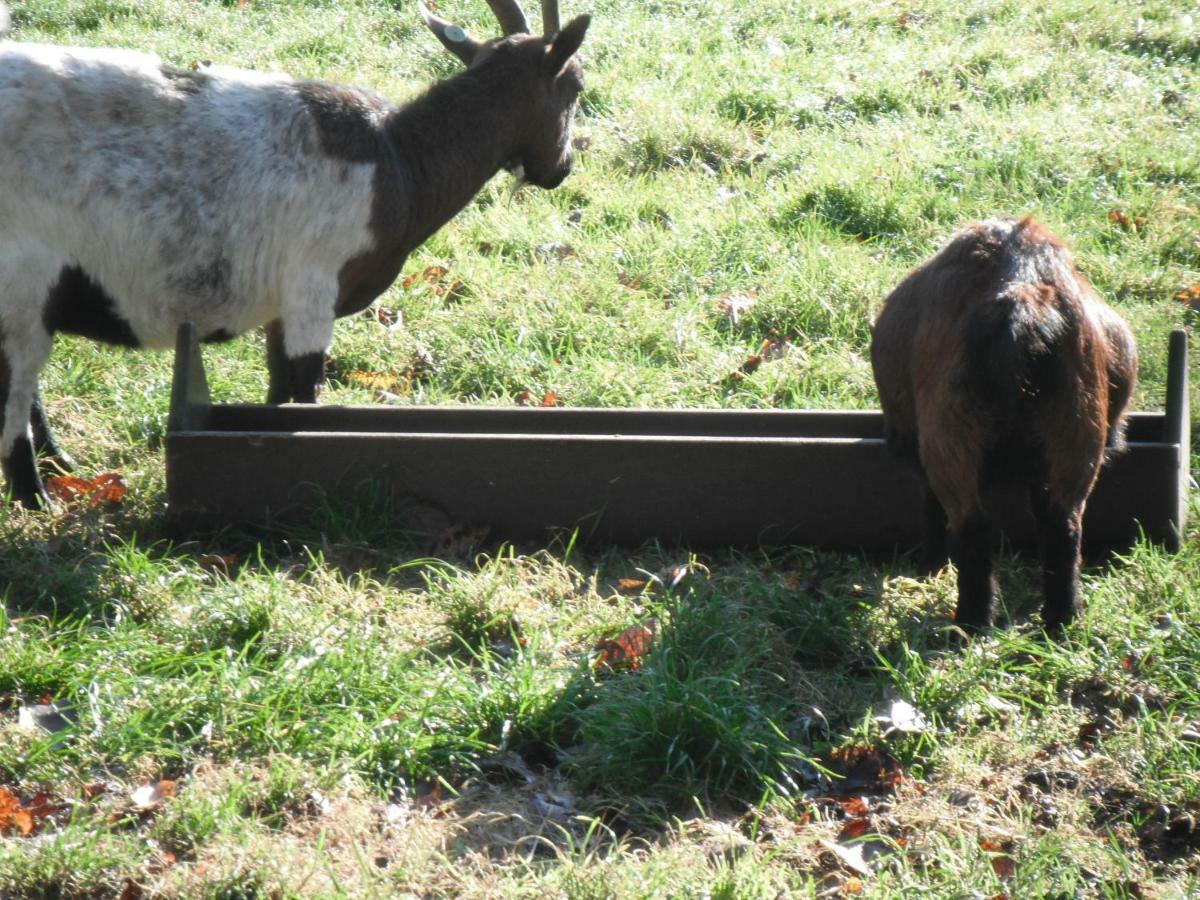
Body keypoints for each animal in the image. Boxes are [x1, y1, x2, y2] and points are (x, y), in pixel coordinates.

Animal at [0, 0, 590, 508]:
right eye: (576, 83)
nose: (560, 169)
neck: (398, 158)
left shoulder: (280, 310)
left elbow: (277, 395)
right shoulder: (312, 290)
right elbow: (303, 393)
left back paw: (61, 465)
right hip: (20, 281)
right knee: (13, 395)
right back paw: (38, 495)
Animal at [873, 217, 1132, 633]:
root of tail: (1020, 294)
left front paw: (931, 565)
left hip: (950, 434)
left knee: (971, 528)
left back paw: (971, 622)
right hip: (1076, 429)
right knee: (1062, 527)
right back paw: (1061, 619)